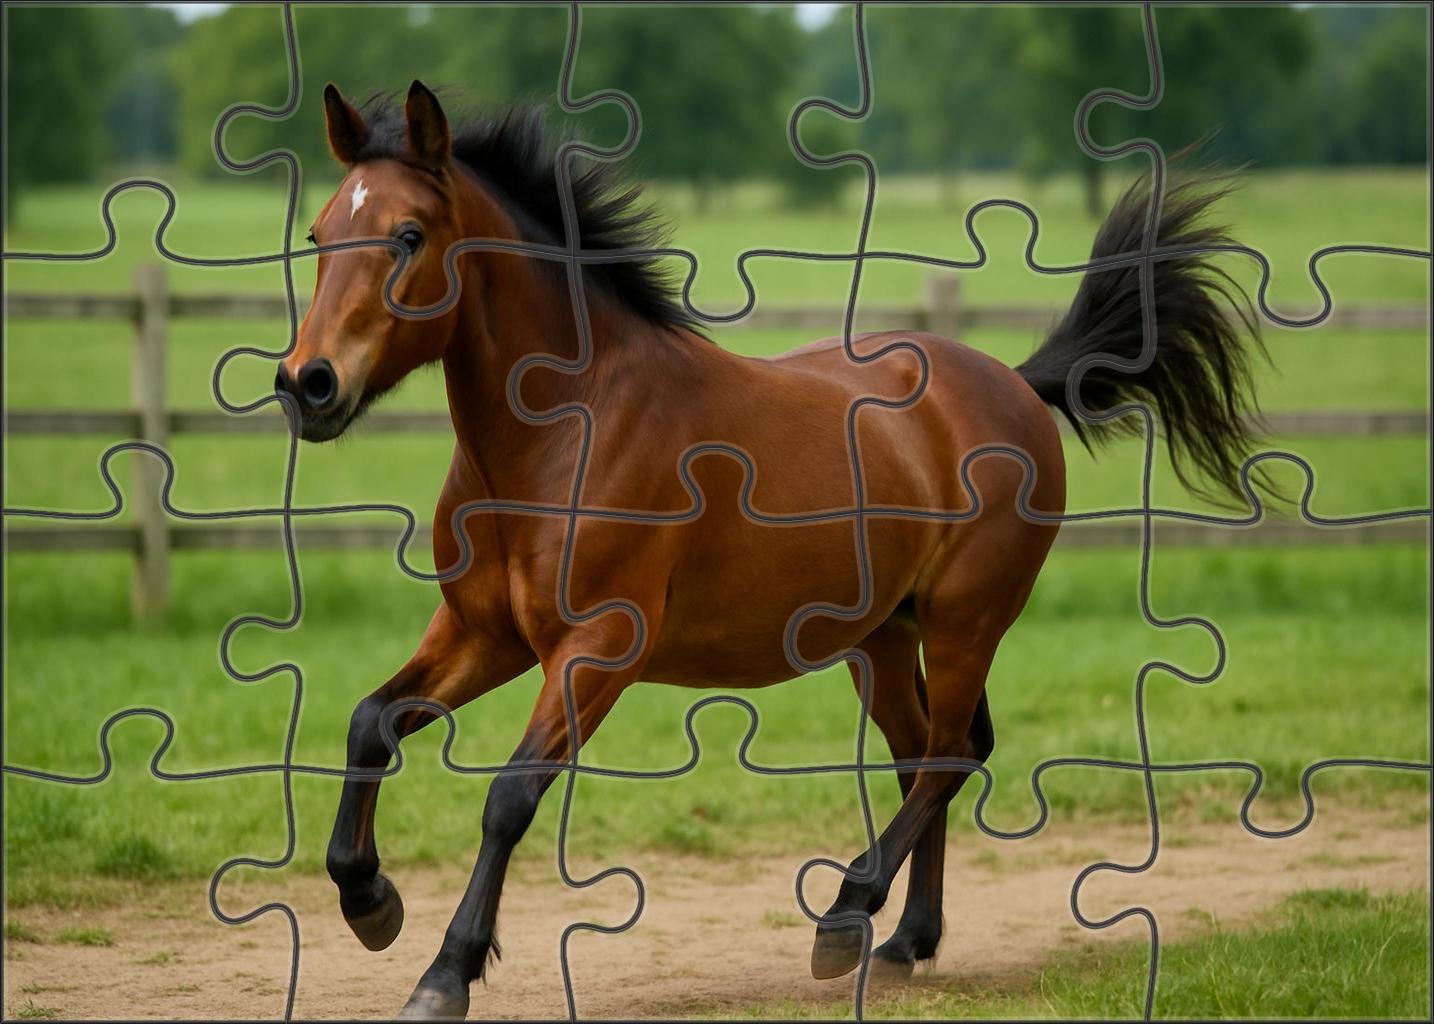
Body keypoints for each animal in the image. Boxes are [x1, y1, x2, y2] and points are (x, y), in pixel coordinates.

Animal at [278, 81, 1264, 1018]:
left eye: (407, 236)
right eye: (321, 233)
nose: (305, 386)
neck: (567, 427)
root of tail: (1015, 384)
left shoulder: (597, 650)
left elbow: (509, 799)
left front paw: (444, 973)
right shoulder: (486, 635)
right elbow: (370, 722)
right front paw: (370, 902)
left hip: (964, 622)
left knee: (953, 753)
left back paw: (846, 913)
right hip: (881, 638)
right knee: (923, 755)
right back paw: (902, 941)